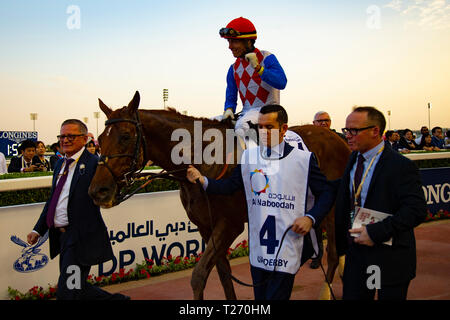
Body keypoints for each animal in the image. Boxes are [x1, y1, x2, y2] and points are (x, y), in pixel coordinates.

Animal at [89, 92, 352, 300]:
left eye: (125, 136)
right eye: (100, 139)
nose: (97, 191)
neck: (204, 159)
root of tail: (338, 138)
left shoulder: (229, 224)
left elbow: (198, 275)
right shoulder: (206, 227)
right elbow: (223, 274)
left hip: (330, 207)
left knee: (333, 251)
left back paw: (325, 292)